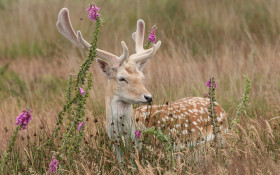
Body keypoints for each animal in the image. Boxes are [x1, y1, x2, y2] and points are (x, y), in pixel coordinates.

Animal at [56, 8, 228, 160]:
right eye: (122, 78)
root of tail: (219, 107)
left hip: (221, 137)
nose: (148, 97)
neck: (125, 137)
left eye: (141, 76)